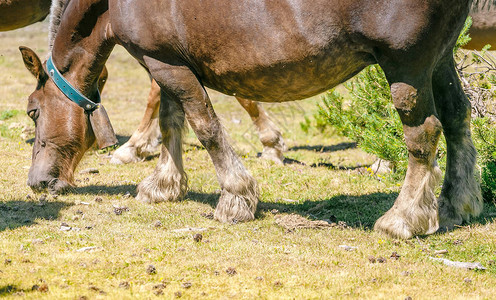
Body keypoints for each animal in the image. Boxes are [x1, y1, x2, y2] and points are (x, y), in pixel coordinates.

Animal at [21, 0, 482, 239]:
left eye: (33, 110)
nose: (37, 182)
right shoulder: (165, 61)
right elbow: (172, 122)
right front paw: (164, 185)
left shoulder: (167, 65)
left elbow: (205, 126)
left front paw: (236, 198)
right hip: (439, 58)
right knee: (458, 118)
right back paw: (456, 205)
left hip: (407, 65)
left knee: (424, 135)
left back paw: (402, 219)